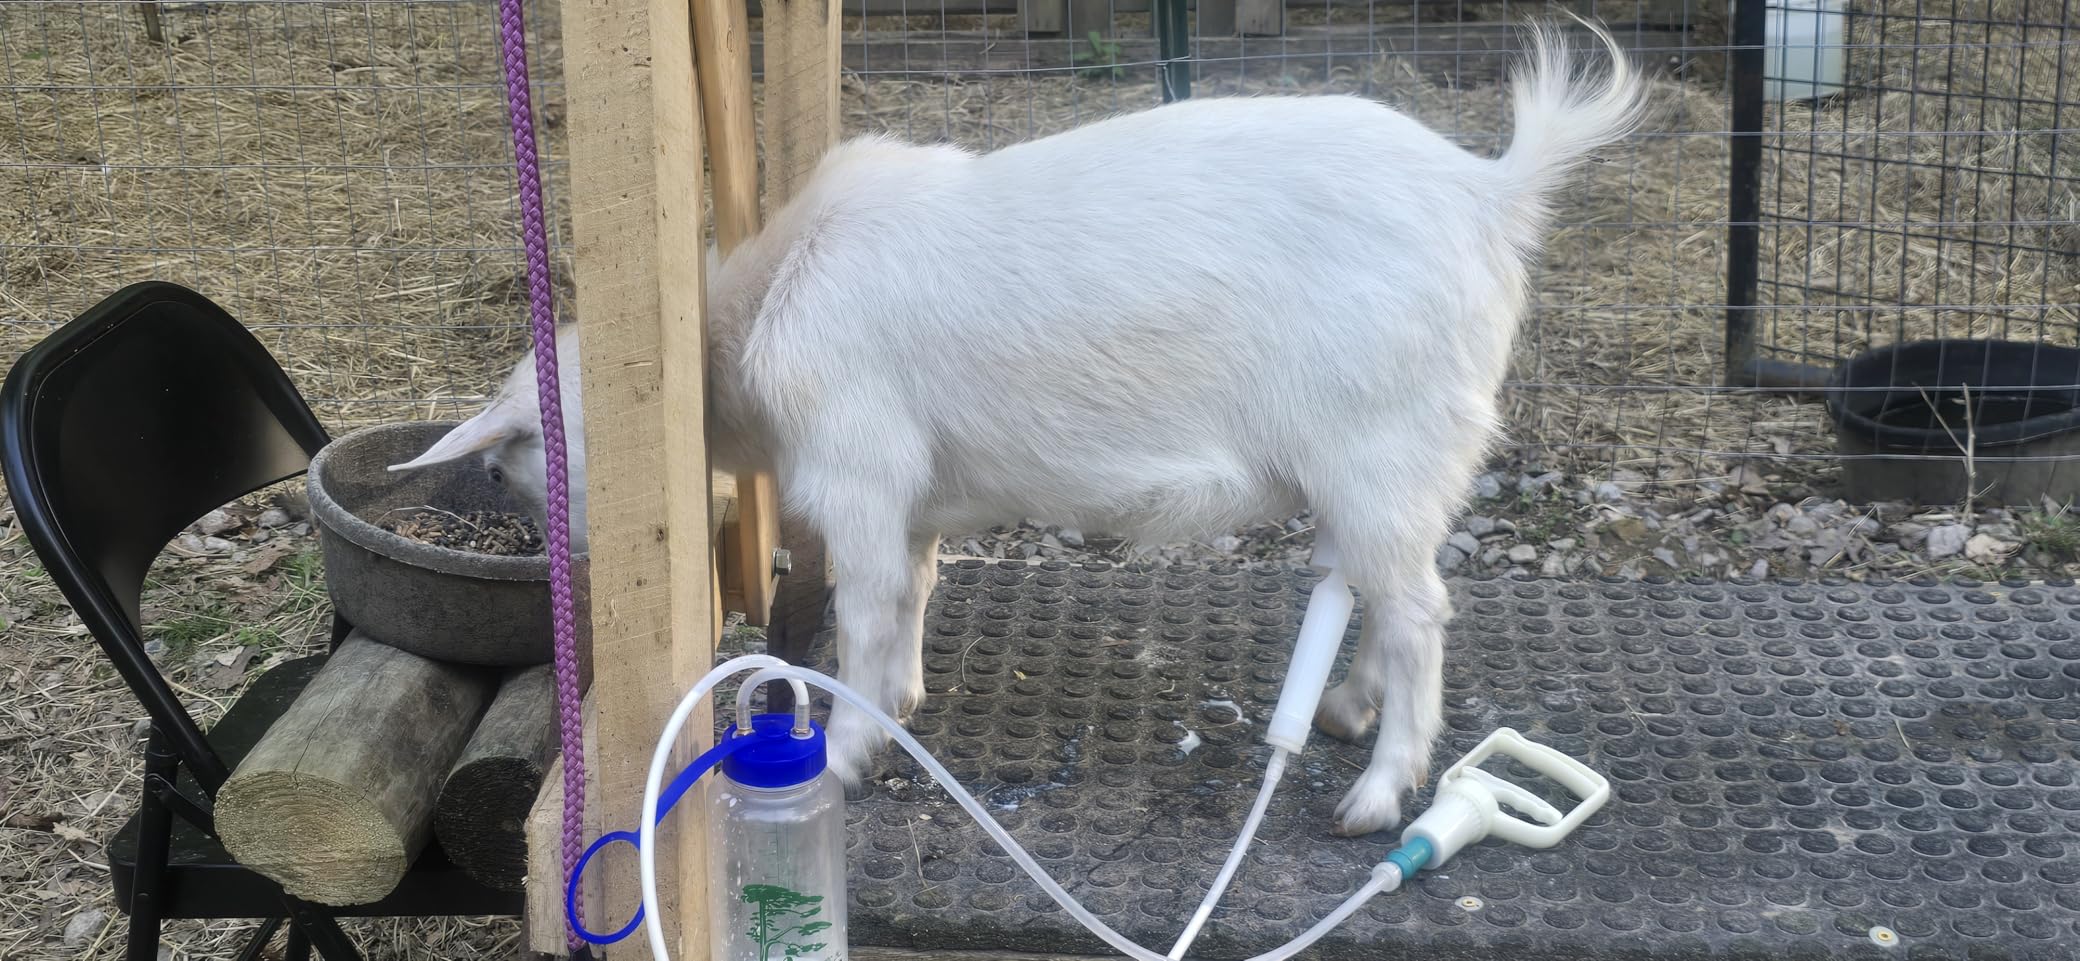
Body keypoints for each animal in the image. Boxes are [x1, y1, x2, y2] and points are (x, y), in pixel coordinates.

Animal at [390, 18, 1648, 836]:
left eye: (514, 468)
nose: (582, 564)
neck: (757, 313)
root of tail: (1489, 194)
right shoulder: (912, 498)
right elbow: (915, 586)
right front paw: (900, 703)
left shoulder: (858, 470)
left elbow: (866, 607)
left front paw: (845, 752)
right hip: (1396, 469)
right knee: (1390, 597)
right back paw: (1343, 710)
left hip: (1380, 447)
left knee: (1423, 612)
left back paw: (1377, 794)